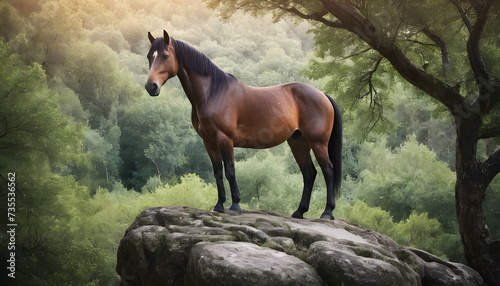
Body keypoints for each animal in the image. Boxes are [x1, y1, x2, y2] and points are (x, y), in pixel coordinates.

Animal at [143, 30, 342, 219]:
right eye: (149, 56)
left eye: (165, 56)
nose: (151, 87)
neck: (213, 92)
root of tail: (322, 95)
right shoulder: (209, 142)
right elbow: (218, 172)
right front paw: (219, 206)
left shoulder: (224, 139)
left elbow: (230, 170)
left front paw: (235, 206)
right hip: (298, 142)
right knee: (309, 173)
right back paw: (299, 212)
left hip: (317, 142)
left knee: (328, 170)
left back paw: (327, 212)